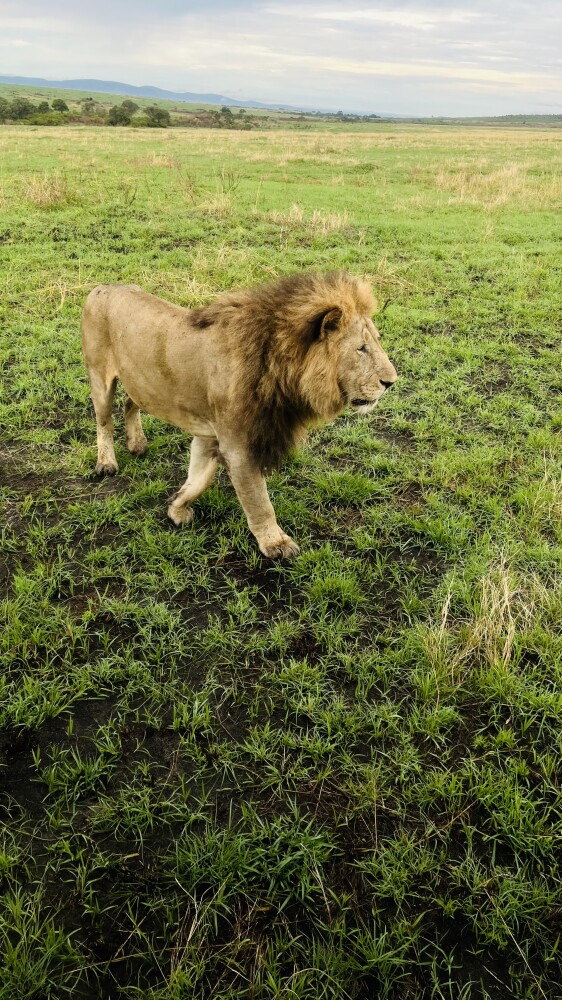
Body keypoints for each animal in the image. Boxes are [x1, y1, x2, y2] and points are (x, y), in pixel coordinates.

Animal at [81, 271, 397, 558]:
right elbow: (258, 500)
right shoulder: (238, 446)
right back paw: (107, 463)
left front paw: (176, 508)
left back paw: (137, 443)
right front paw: (276, 544)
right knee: (104, 422)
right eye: (361, 349)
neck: (280, 368)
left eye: (377, 341)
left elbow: (198, 480)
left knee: (129, 403)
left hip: (141, 383)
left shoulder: (211, 436)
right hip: (100, 379)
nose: (391, 382)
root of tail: (102, 286)